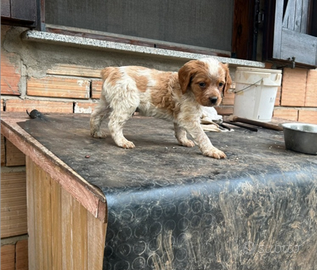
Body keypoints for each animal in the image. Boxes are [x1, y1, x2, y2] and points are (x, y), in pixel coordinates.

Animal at [90, 57, 231, 158]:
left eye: (220, 84)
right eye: (201, 84)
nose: (214, 99)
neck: (189, 91)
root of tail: (111, 70)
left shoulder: (181, 116)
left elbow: (180, 131)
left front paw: (184, 141)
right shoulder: (189, 118)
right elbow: (203, 136)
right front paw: (212, 150)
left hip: (106, 102)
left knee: (95, 114)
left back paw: (96, 132)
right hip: (127, 103)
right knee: (114, 123)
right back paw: (122, 141)